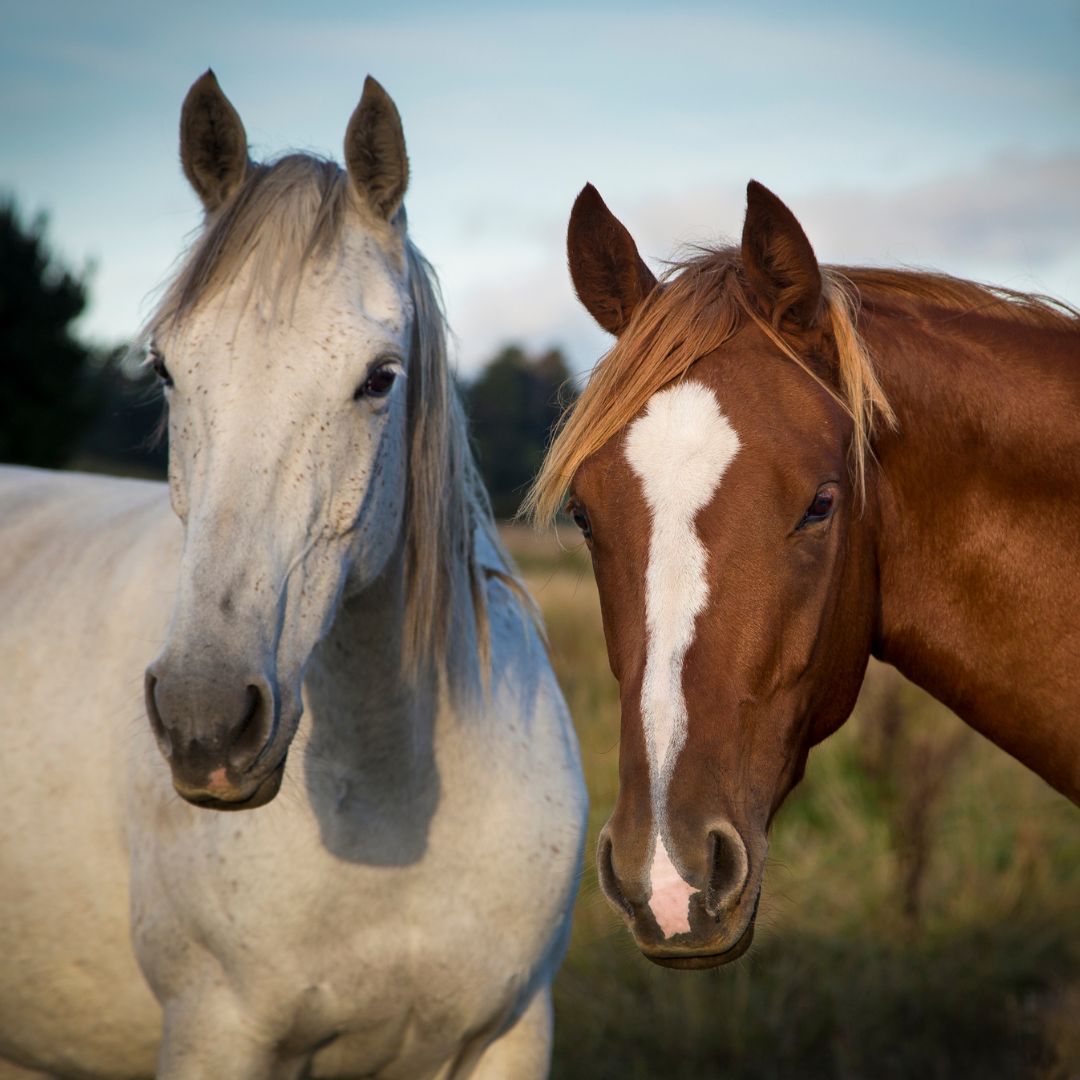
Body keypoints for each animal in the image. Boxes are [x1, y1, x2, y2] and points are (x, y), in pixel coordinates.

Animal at [0, 71, 586, 1078]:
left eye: (380, 377)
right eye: (165, 368)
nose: (203, 722)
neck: (394, 808)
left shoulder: (511, 1034)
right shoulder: (217, 1033)